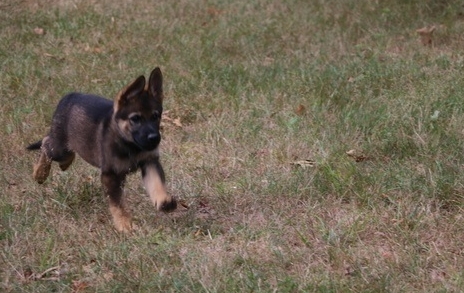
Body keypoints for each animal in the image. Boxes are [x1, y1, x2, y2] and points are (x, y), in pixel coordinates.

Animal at [26, 67, 176, 232]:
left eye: (156, 116)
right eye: (135, 119)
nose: (154, 138)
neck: (129, 144)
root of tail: (69, 96)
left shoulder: (149, 162)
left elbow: (156, 183)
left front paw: (164, 201)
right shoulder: (110, 175)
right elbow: (118, 204)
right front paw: (125, 224)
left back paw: (63, 164)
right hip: (59, 148)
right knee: (46, 143)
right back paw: (40, 174)